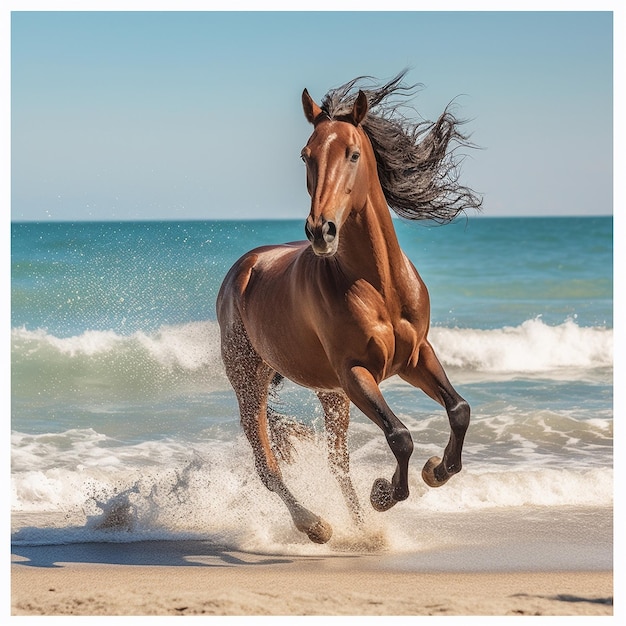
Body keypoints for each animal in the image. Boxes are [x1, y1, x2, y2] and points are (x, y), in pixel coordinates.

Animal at [217, 72, 480, 540]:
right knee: (268, 466)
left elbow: (459, 409)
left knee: (336, 463)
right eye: (305, 156)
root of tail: (243, 268)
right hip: (252, 383)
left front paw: (436, 470)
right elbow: (400, 436)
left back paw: (364, 535)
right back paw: (316, 526)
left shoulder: (416, 357)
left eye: (353, 153)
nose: (320, 230)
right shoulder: (355, 372)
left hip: (331, 395)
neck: (379, 286)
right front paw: (385, 494)